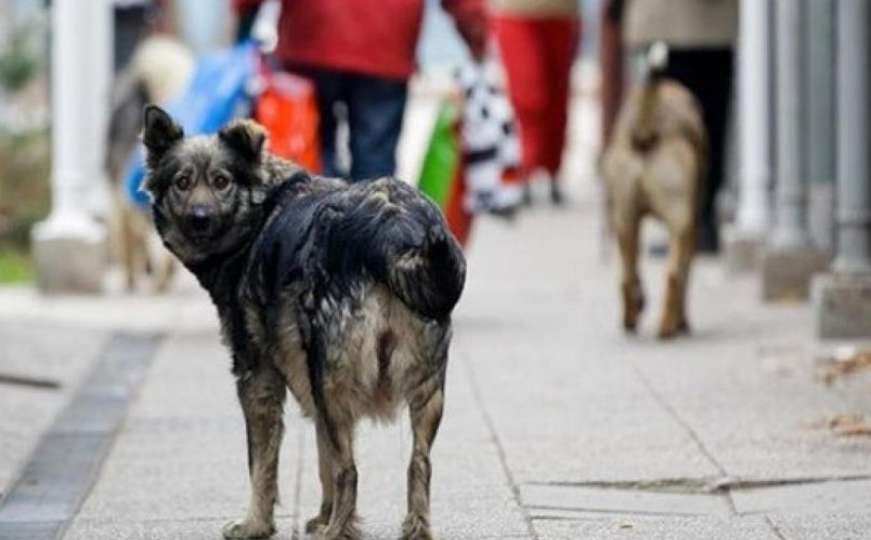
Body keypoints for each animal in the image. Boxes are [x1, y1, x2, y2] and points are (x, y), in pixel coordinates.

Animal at [143, 106, 466, 540]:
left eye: (221, 181)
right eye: (182, 182)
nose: (199, 219)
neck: (259, 212)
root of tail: (392, 228)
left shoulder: (258, 377)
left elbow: (263, 464)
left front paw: (256, 524)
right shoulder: (311, 386)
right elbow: (323, 456)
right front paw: (325, 515)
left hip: (329, 379)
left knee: (351, 472)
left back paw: (334, 534)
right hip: (419, 387)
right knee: (418, 463)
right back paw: (409, 527)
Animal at [608, 44, 708, 338]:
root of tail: (646, 128)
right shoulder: (692, 224)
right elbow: (686, 272)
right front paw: (683, 320)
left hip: (624, 219)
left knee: (628, 276)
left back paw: (630, 319)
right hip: (681, 221)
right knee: (675, 275)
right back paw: (668, 327)